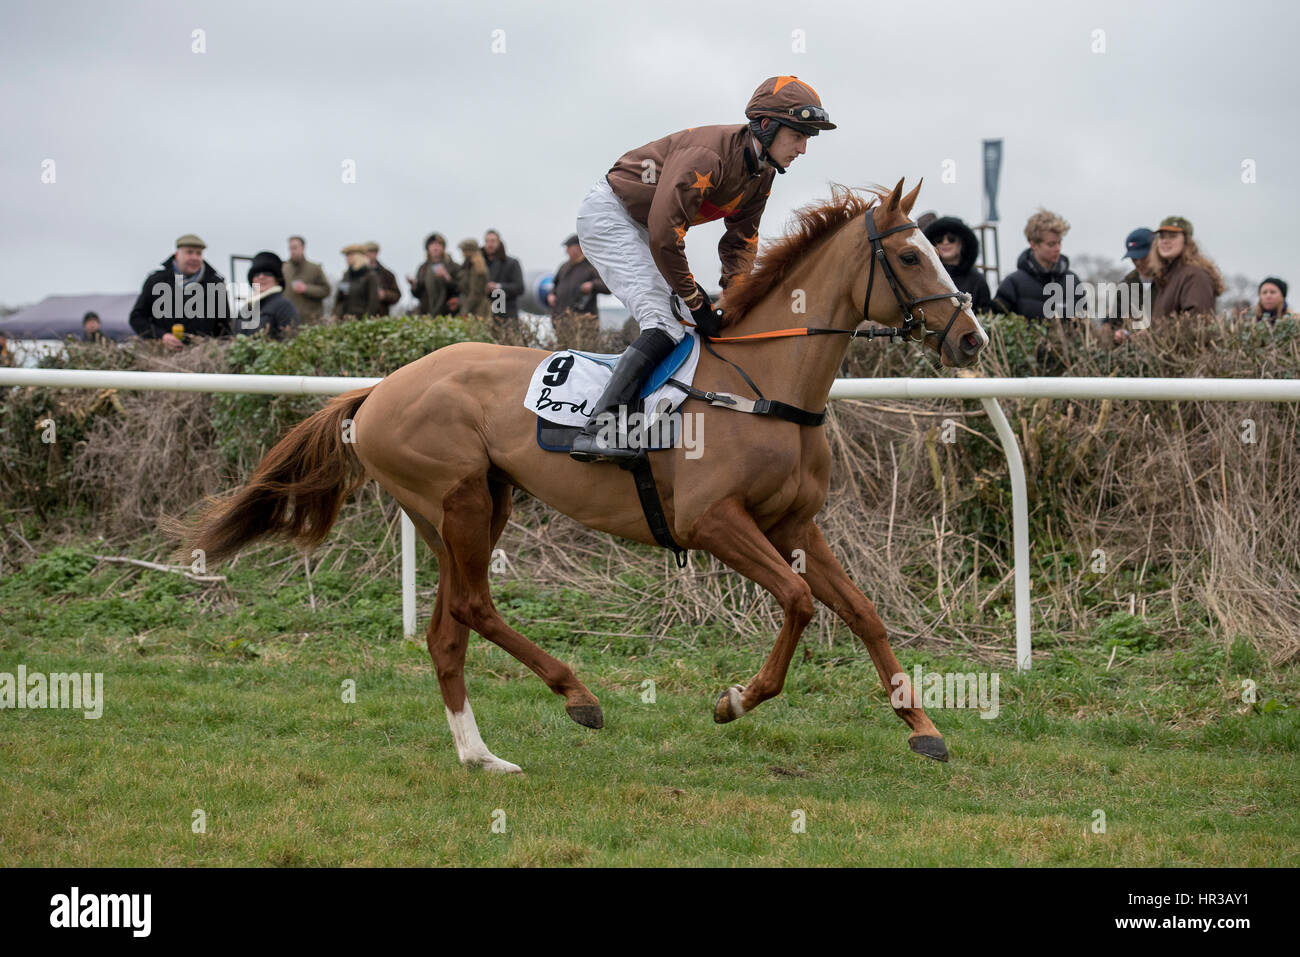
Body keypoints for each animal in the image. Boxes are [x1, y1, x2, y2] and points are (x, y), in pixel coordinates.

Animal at [188, 179, 982, 774]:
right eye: (910, 256)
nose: (972, 338)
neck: (765, 386)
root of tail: (378, 389)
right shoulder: (712, 522)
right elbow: (797, 601)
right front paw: (735, 699)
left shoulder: (792, 522)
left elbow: (862, 611)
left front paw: (922, 725)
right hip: (457, 500)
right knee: (474, 607)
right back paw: (576, 694)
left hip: (473, 507)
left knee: (449, 629)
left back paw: (480, 755)